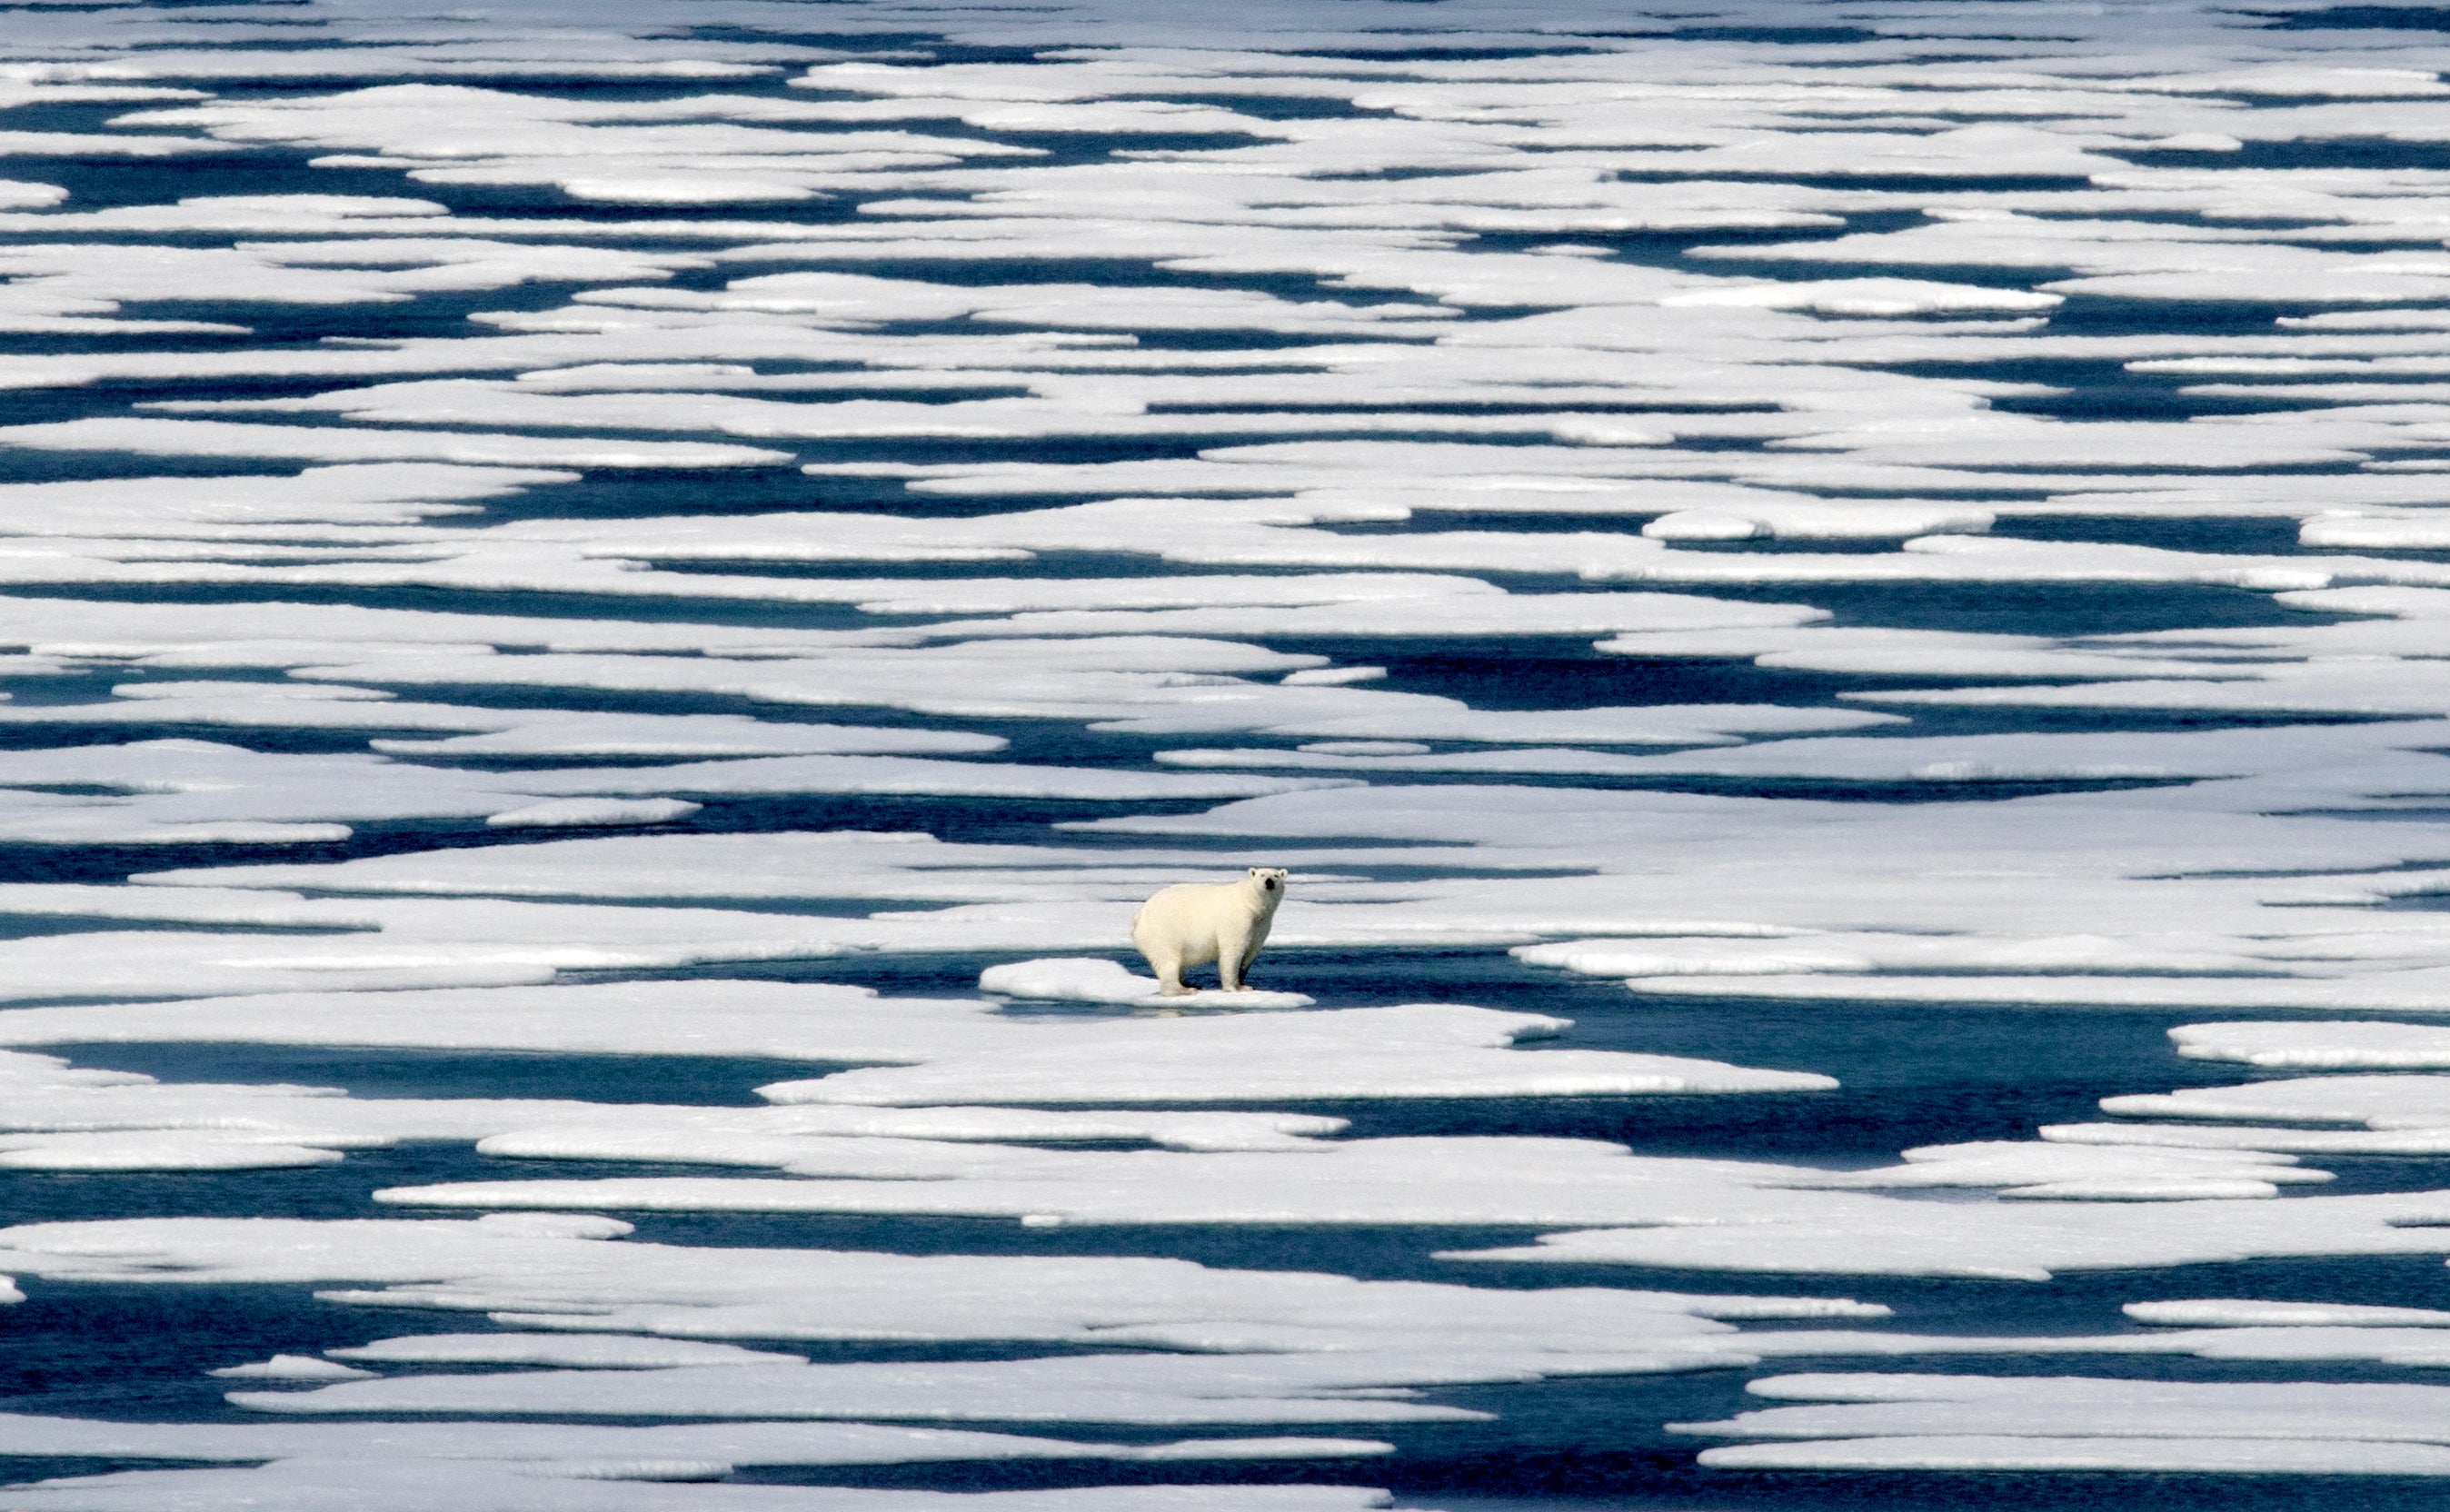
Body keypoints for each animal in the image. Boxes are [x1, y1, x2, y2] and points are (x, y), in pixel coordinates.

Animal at [1121, 867, 1283, 994]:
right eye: (1262, 875)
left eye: (1276, 875)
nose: (1269, 882)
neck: (1251, 904)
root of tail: (1138, 918)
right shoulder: (1236, 920)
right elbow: (1233, 952)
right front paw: (1233, 988)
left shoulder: (1261, 925)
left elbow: (1250, 954)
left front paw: (1244, 985)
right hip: (1162, 932)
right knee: (1168, 960)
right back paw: (1185, 989)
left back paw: (1190, 983)